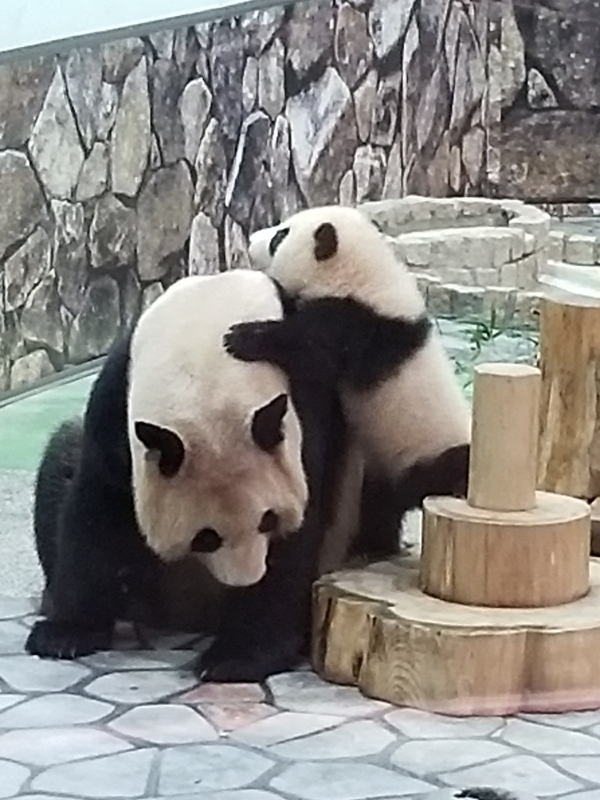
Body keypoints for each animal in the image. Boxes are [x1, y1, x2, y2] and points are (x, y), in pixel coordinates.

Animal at [26, 269, 355, 682]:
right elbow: (98, 506)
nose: (246, 579)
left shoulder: (305, 404)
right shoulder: (118, 399)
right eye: (206, 538)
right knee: (61, 457)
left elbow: (299, 535)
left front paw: (238, 656)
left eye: (268, 520)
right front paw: (65, 633)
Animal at [224, 204, 471, 534]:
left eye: (280, 237)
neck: (361, 273)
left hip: (435, 451)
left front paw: (244, 337)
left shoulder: (359, 326)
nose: (252, 239)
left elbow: (314, 351)